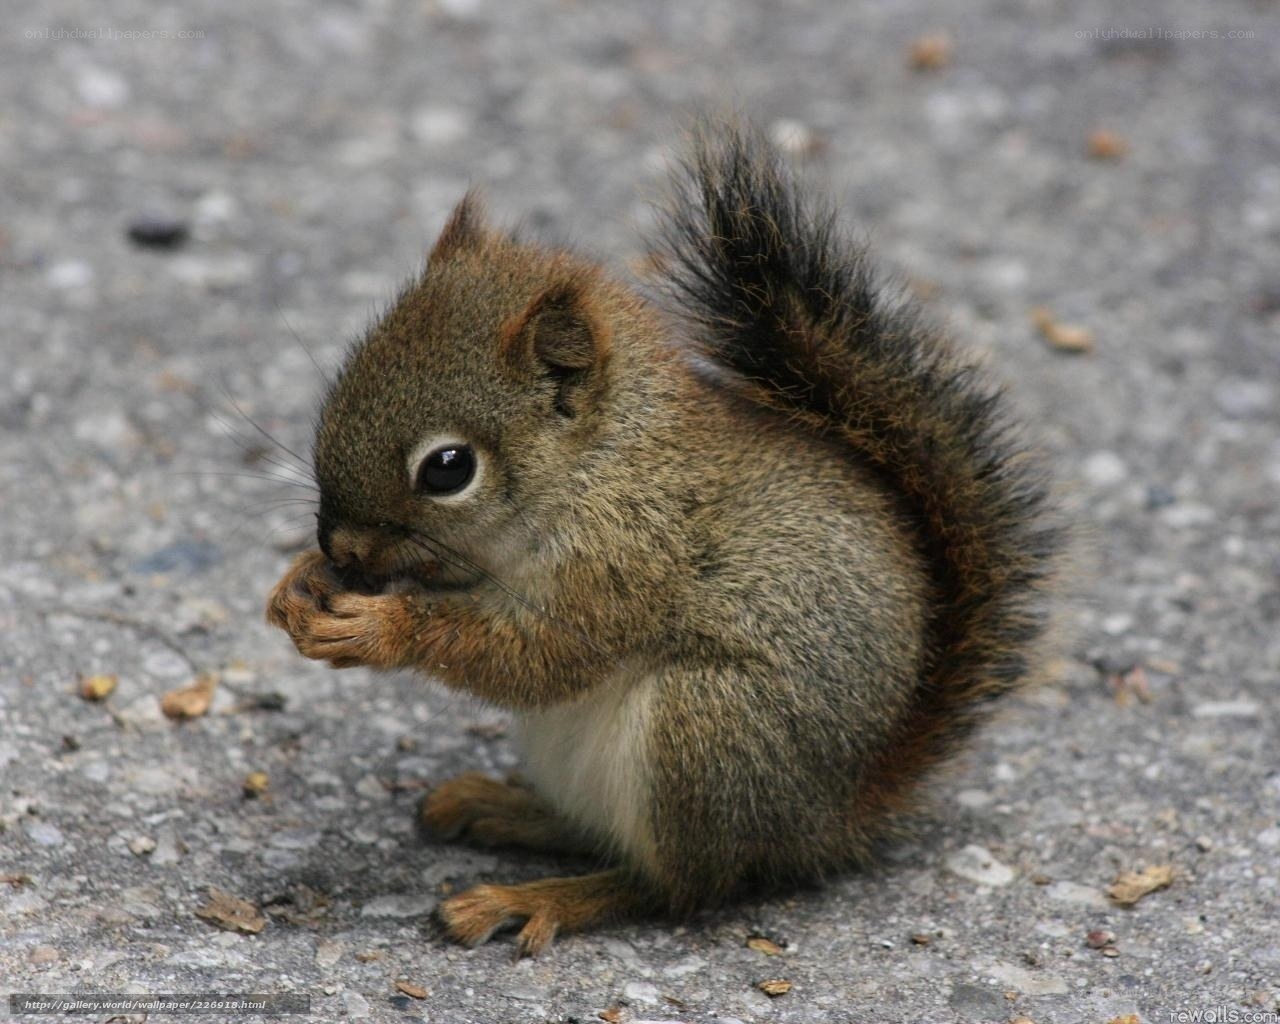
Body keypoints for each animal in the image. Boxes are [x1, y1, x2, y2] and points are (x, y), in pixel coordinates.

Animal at [266, 123, 1059, 956]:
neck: (599, 465)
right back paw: (503, 808)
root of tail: (829, 819)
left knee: (676, 886)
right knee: (599, 835)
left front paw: (378, 627)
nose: (342, 548)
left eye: (448, 468)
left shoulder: (627, 560)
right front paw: (299, 584)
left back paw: (537, 897)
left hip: (705, 731)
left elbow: (541, 656)